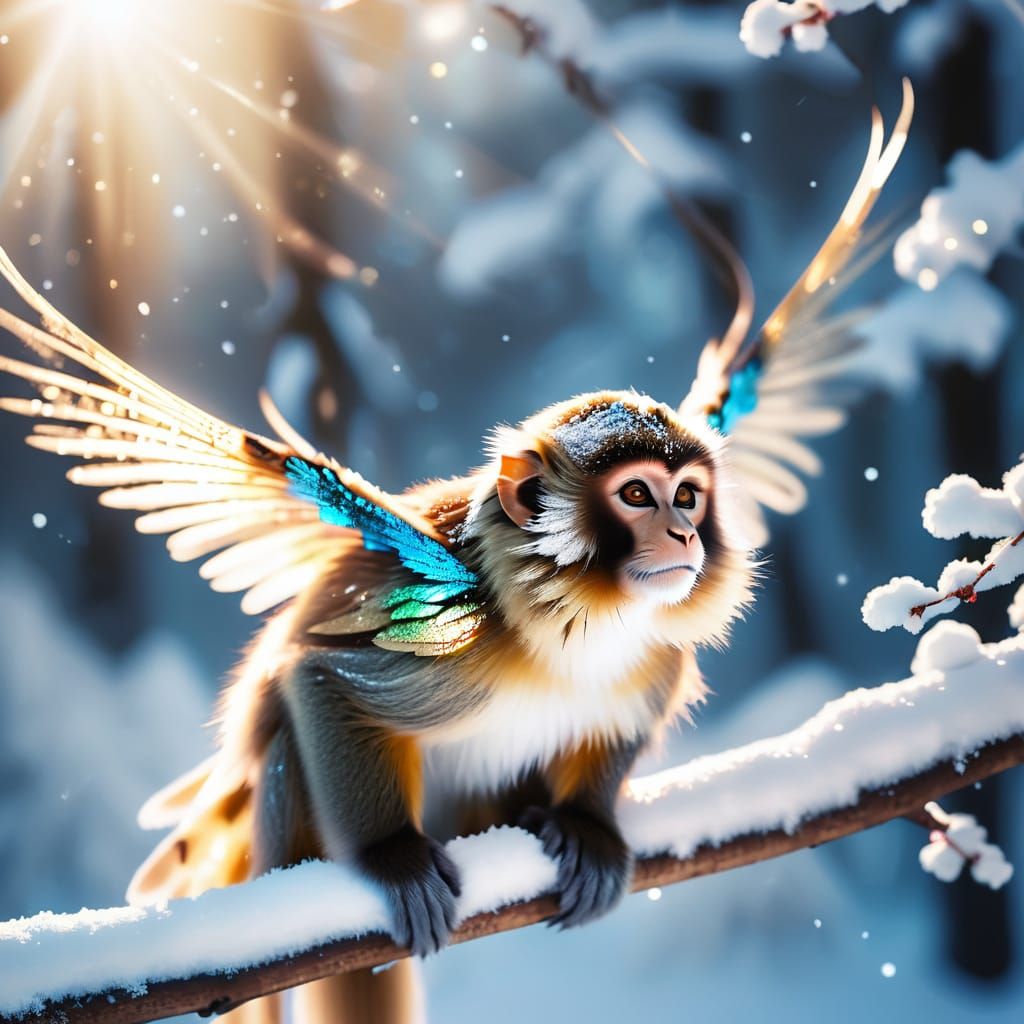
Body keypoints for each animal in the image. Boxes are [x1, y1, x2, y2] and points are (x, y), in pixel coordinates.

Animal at [0, 83, 912, 1024]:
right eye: (637, 496)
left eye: (689, 494)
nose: (685, 535)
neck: (578, 621)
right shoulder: (448, 637)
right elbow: (320, 680)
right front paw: (389, 856)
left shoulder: (648, 652)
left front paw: (588, 824)